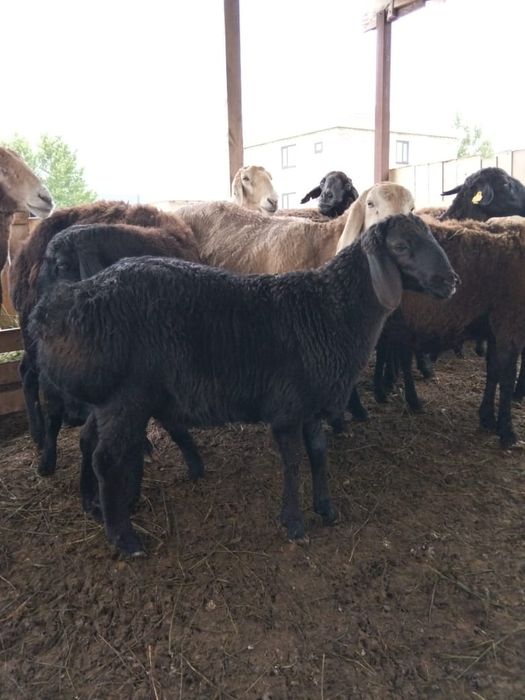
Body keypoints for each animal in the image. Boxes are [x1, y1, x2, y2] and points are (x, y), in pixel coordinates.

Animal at [30, 214, 457, 556]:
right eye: (401, 246)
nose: (451, 280)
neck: (329, 311)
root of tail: (62, 307)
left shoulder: (310, 403)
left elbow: (319, 455)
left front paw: (326, 509)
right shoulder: (287, 407)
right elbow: (293, 463)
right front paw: (294, 523)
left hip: (112, 398)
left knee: (89, 441)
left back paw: (93, 504)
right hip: (127, 397)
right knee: (106, 458)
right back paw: (125, 539)